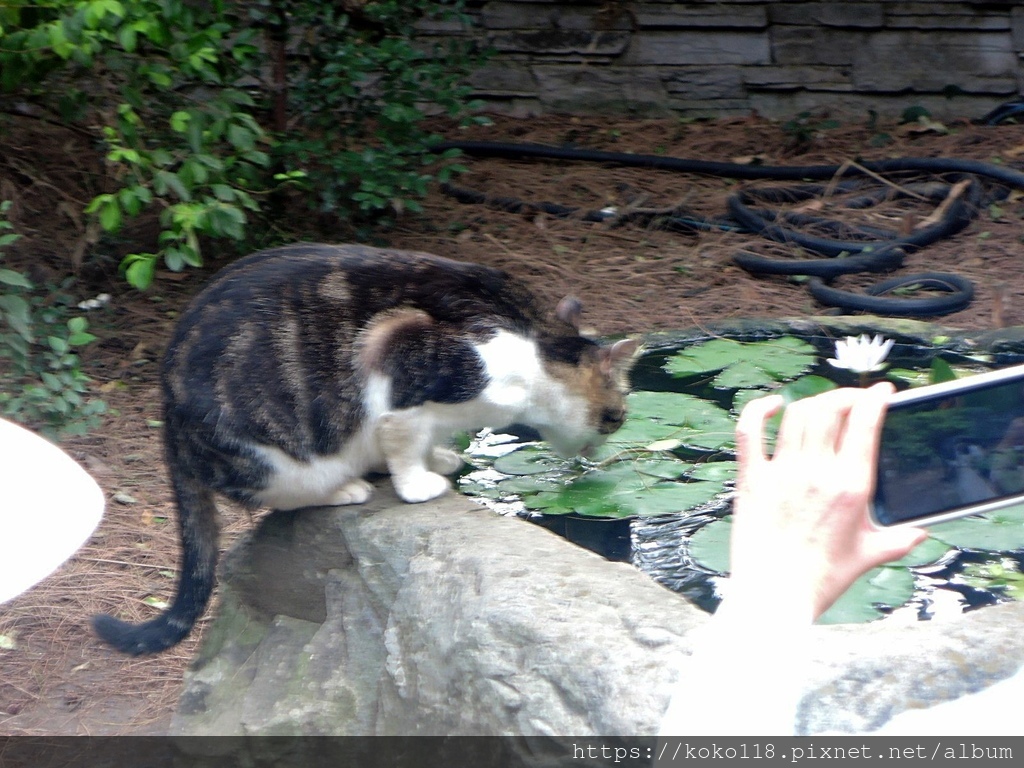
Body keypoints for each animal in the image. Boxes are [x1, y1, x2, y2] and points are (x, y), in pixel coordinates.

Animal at [96, 244, 638, 655]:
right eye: (618, 415)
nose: (602, 449)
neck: (534, 350)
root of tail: (168, 413)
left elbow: (419, 440)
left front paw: (438, 458)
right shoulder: (399, 350)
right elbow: (403, 437)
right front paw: (418, 483)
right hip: (276, 454)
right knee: (282, 493)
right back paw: (345, 489)